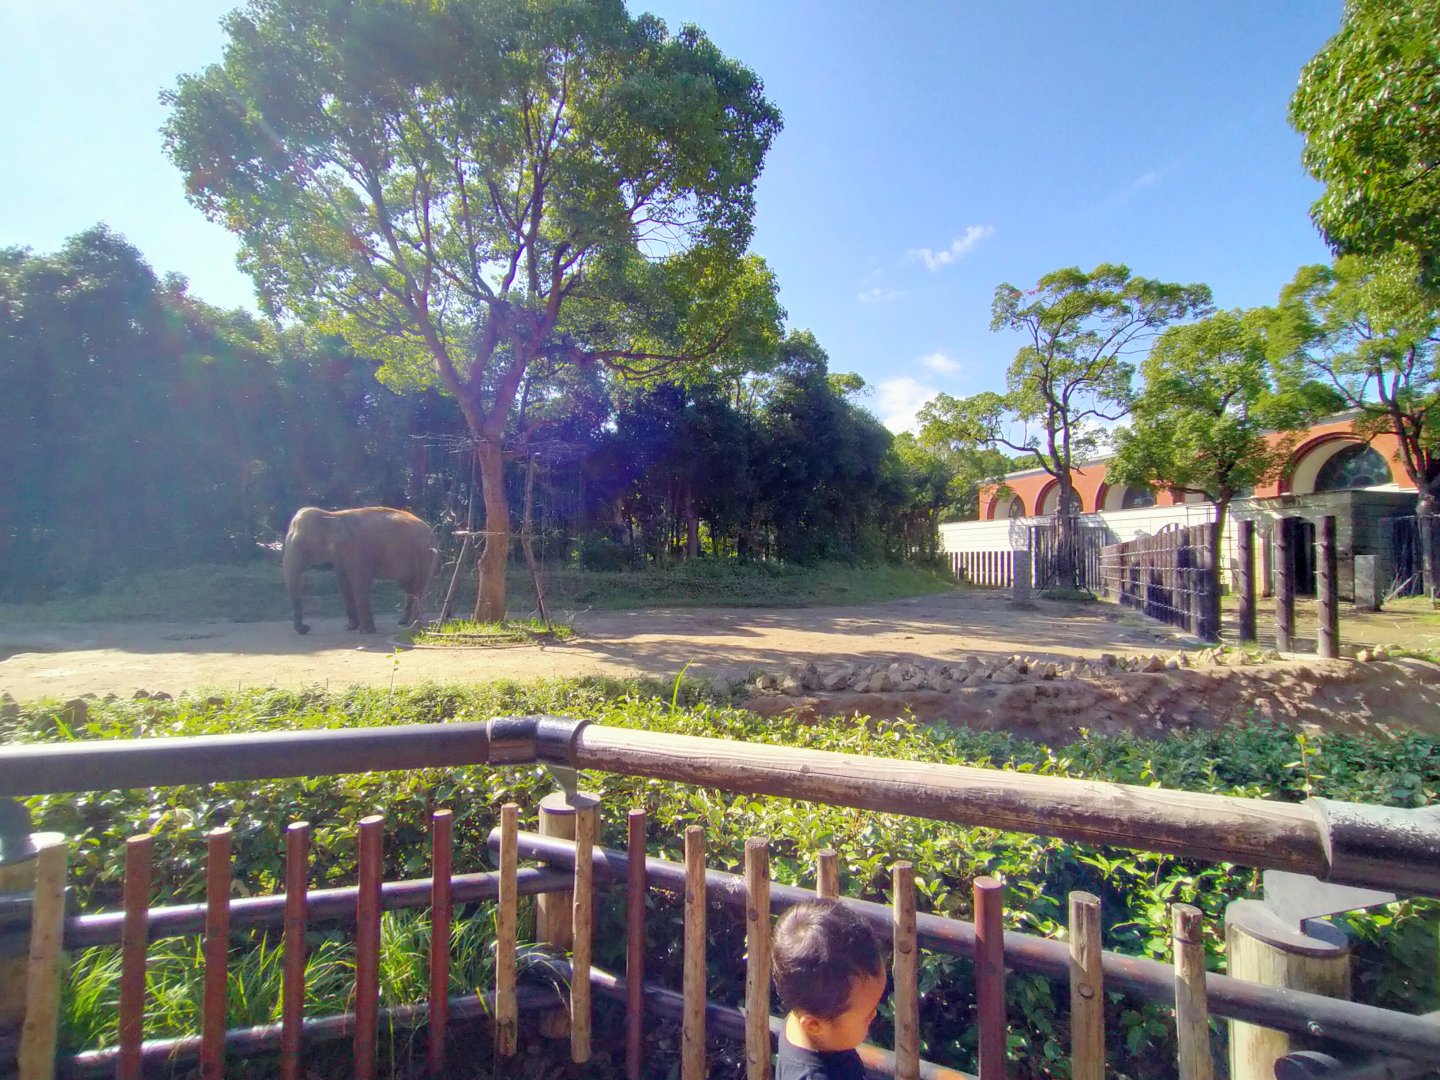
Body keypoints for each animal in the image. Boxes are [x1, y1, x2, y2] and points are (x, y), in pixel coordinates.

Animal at [283, 507, 437, 635]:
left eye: (303, 544)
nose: (307, 628)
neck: (331, 515)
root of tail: (428, 527)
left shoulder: (357, 551)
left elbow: (359, 583)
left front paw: (365, 631)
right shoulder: (340, 556)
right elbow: (344, 584)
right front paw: (349, 627)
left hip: (425, 553)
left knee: (419, 586)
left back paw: (414, 625)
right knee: (408, 586)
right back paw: (403, 622)